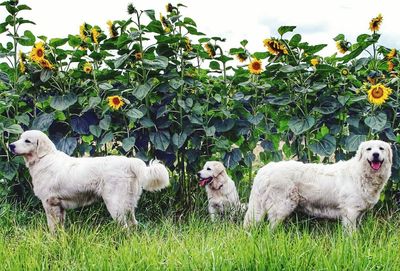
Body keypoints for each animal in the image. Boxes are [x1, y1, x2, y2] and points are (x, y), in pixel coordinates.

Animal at [9, 131, 169, 233]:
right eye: (19, 138)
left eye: (27, 141)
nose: (11, 145)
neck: (44, 159)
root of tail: (129, 162)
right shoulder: (59, 206)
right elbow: (60, 227)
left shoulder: (50, 203)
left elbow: (52, 228)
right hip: (129, 204)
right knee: (133, 224)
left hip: (115, 204)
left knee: (125, 227)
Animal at [242, 140, 392, 232]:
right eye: (368, 149)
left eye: (381, 148)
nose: (375, 154)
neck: (362, 173)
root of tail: (265, 169)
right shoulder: (350, 211)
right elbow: (351, 234)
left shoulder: (358, 213)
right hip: (282, 206)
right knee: (270, 229)